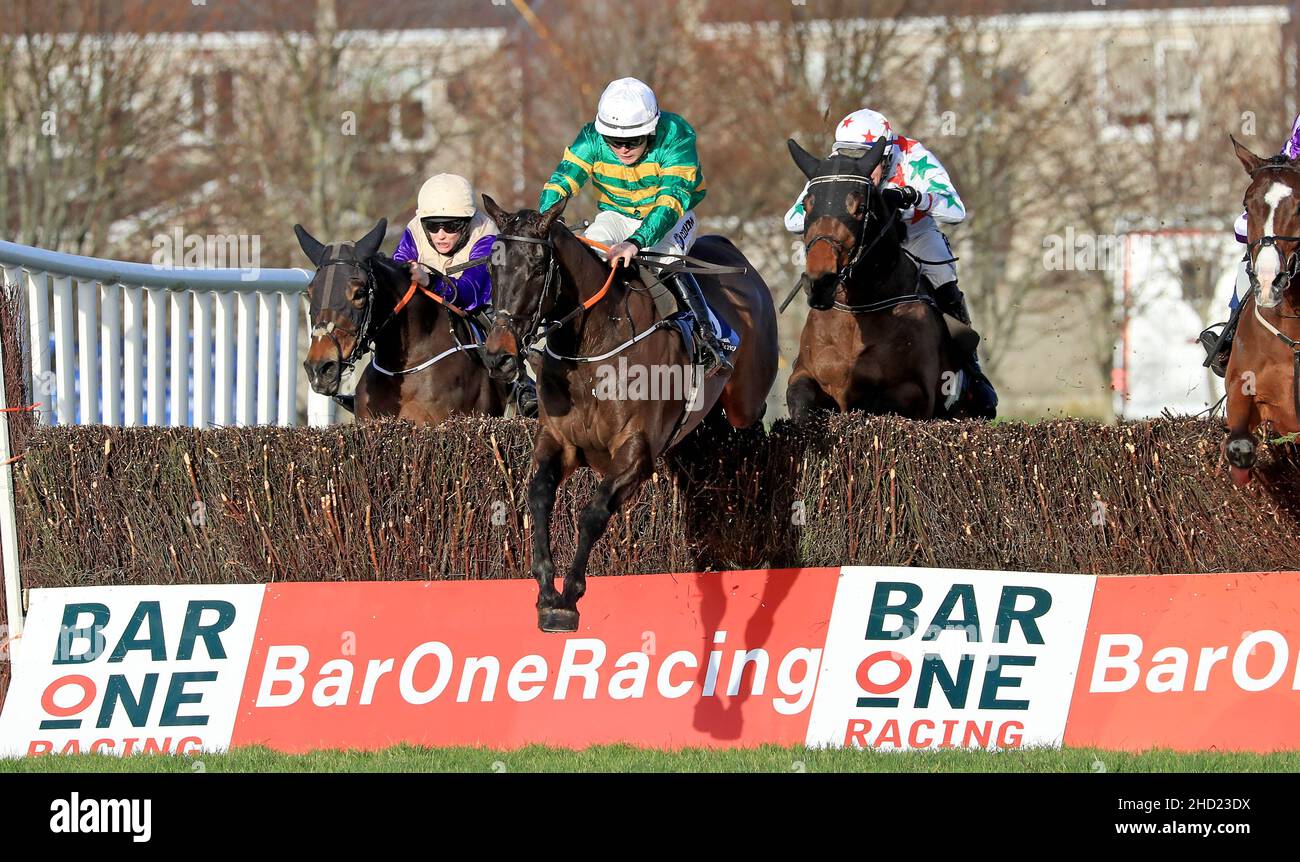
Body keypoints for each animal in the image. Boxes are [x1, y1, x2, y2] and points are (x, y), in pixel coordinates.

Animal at [480, 198, 774, 637]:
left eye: (536, 268)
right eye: (490, 268)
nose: (498, 356)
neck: (593, 346)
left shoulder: (636, 451)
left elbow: (593, 513)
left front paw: (568, 599)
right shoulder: (559, 442)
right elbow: (539, 497)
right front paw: (547, 592)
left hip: (746, 398)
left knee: (752, 418)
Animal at [780, 136, 977, 423]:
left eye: (860, 208)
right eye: (807, 205)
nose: (820, 284)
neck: (858, 310)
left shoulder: (916, 391)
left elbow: (874, 404)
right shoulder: (804, 374)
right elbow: (801, 403)